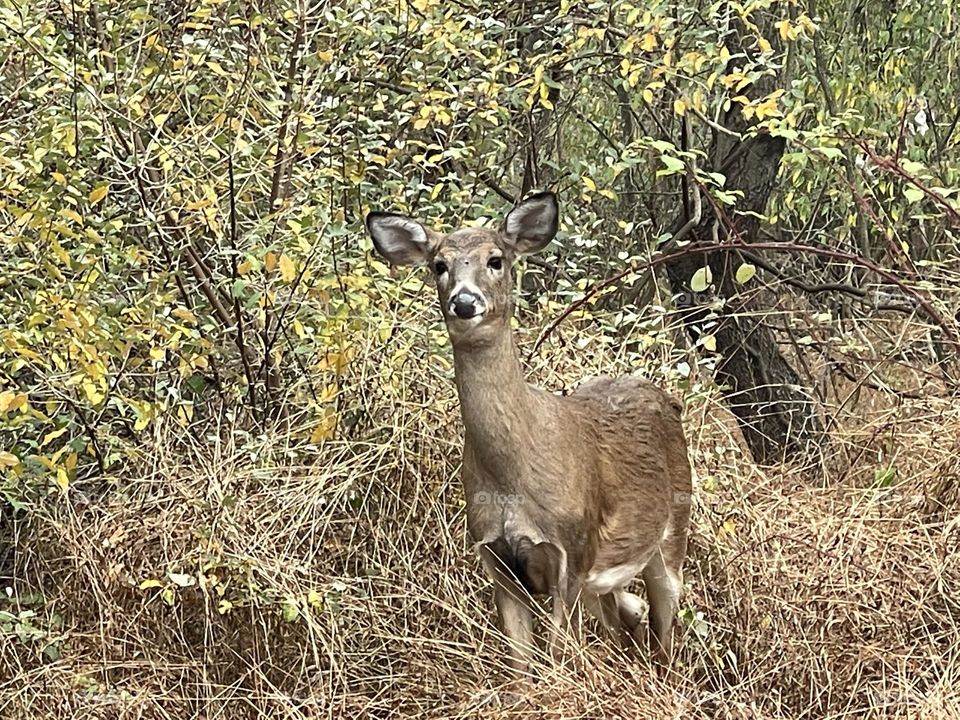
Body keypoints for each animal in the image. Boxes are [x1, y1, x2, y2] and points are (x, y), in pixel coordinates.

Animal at [365, 191, 692, 674]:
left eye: (496, 259)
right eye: (439, 264)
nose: (464, 301)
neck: (512, 480)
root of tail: (665, 395)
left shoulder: (573, 553)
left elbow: (559, 657)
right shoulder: (496, 559)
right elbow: (520, 665)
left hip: (673, 527)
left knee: (664, 619)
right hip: (606, 580)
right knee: (624, 620)